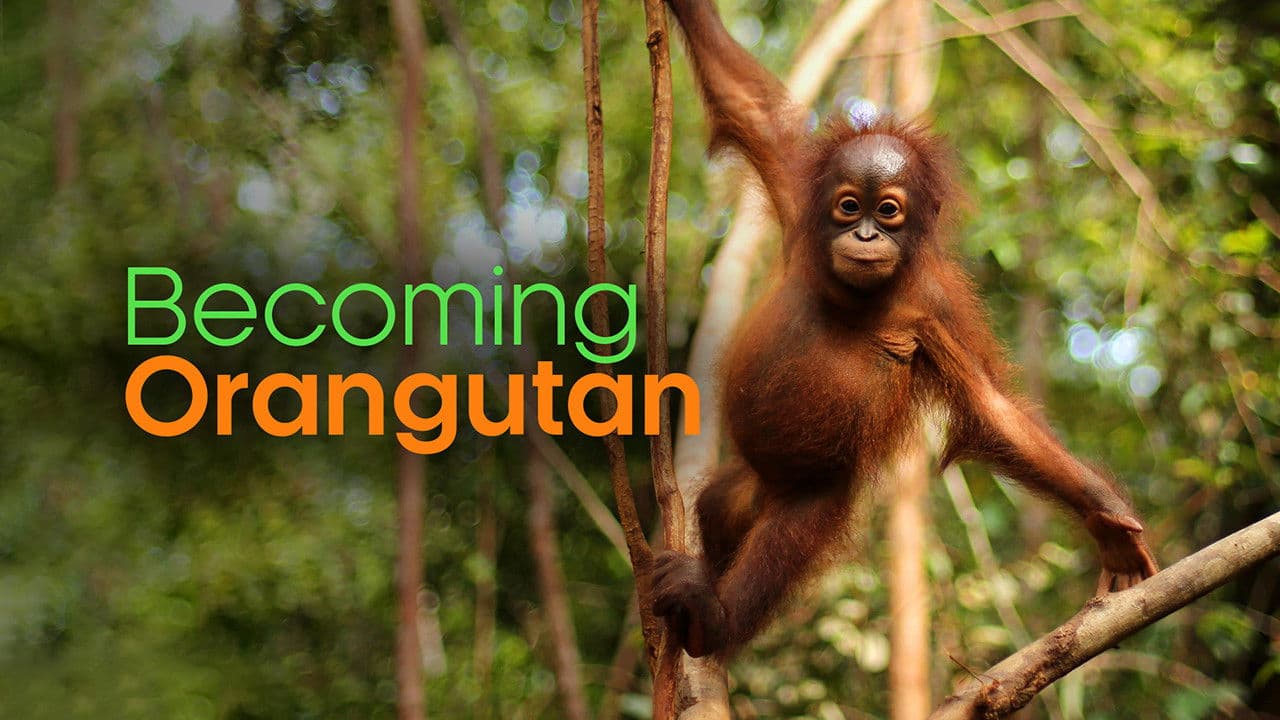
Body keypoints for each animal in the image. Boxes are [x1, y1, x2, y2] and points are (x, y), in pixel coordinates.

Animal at [651, 0, 1160, 660]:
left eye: (888, 210)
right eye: (849, 205)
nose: (866, 234)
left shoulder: (938, 306)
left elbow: (993, 409)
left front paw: (1107, 519)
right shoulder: (797, 184)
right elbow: (746, 105)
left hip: (815, 497)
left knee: (785, 544)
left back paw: (713, 617)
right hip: (746, 486)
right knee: (717, 506)